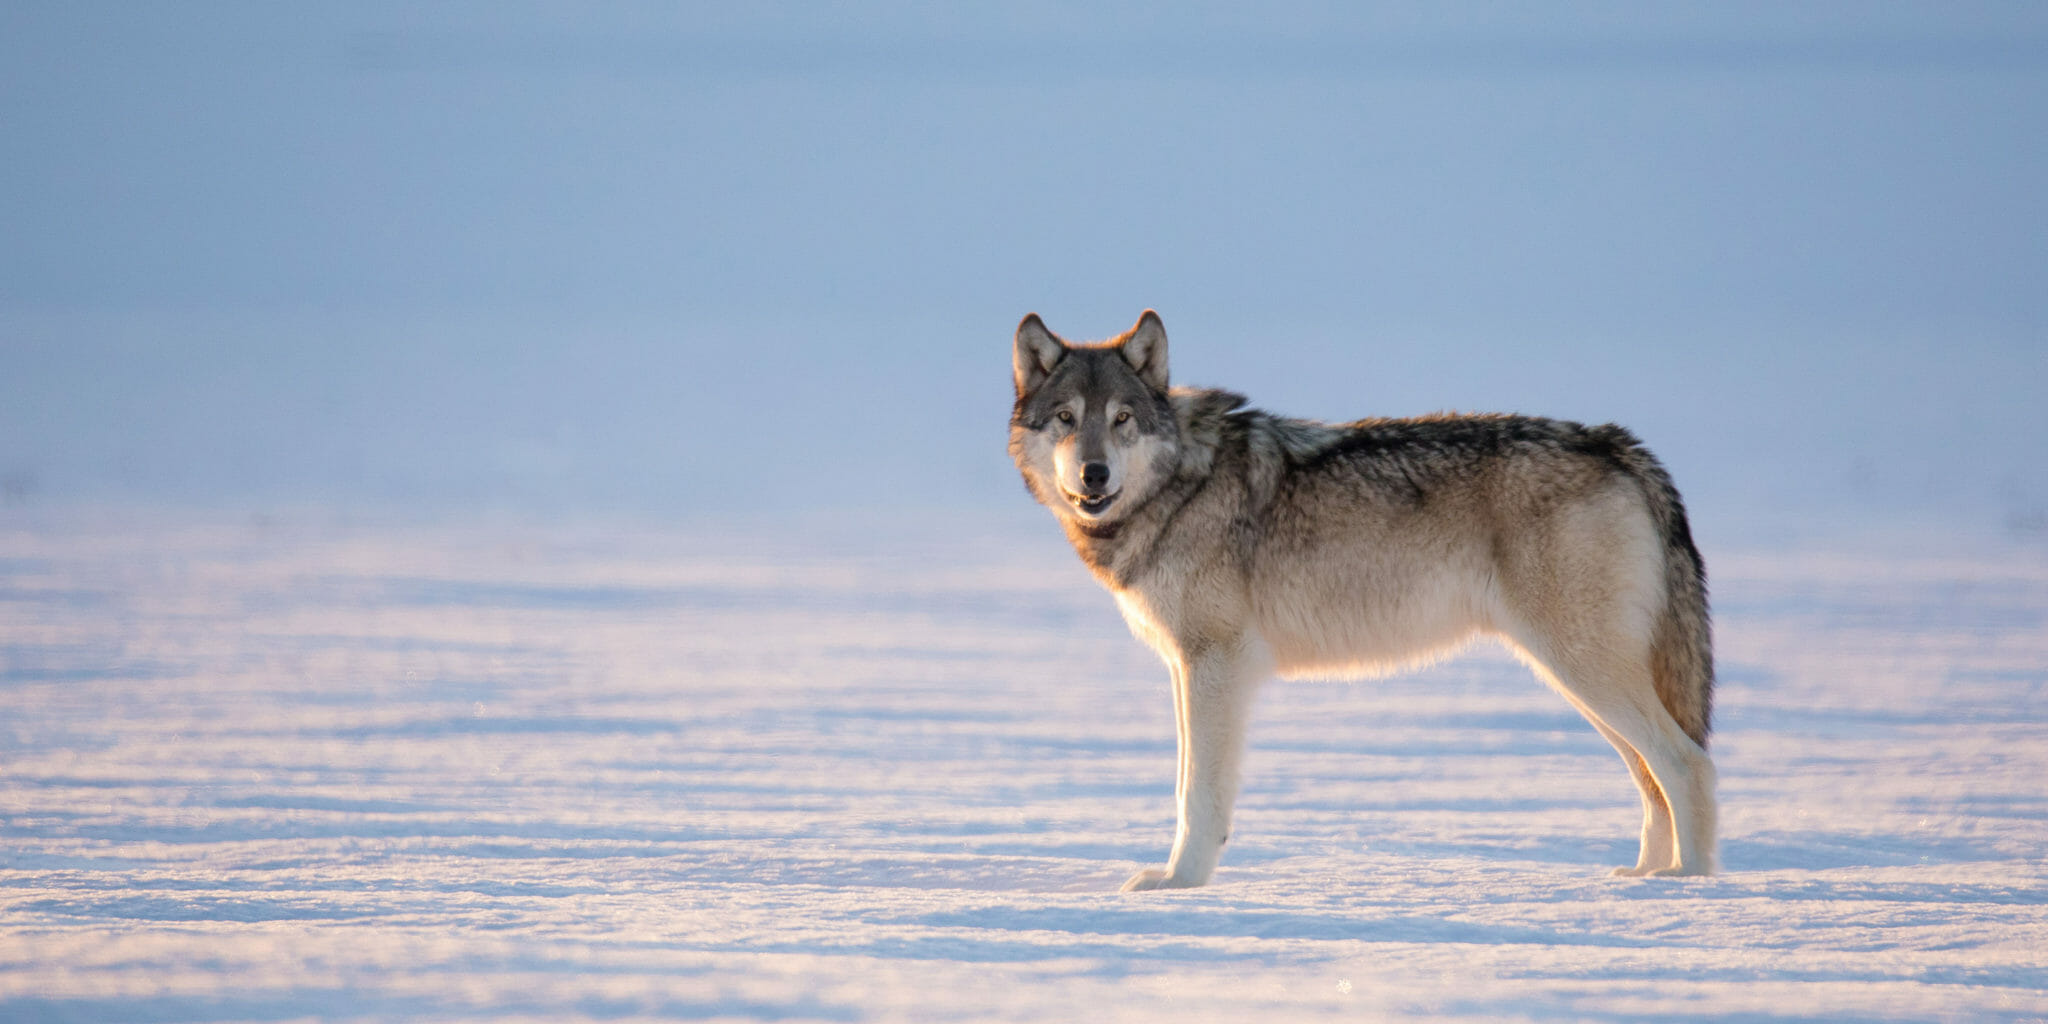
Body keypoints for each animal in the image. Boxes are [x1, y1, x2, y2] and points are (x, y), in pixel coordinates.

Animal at [1007, 309, 1712, 888]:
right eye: (1066, 418)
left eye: (1121, 419)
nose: (1093, 474)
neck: (1181, 483)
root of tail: (1615, 443)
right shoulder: (1186, 667)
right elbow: (1186, 785)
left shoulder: (1215, 664)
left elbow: (1198, 793)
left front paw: (1182, 885)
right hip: (1578, 681)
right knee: (1651, 778)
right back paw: (1643, 879)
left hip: (1582, 670)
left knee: (1688, 764)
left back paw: (1691, 886)